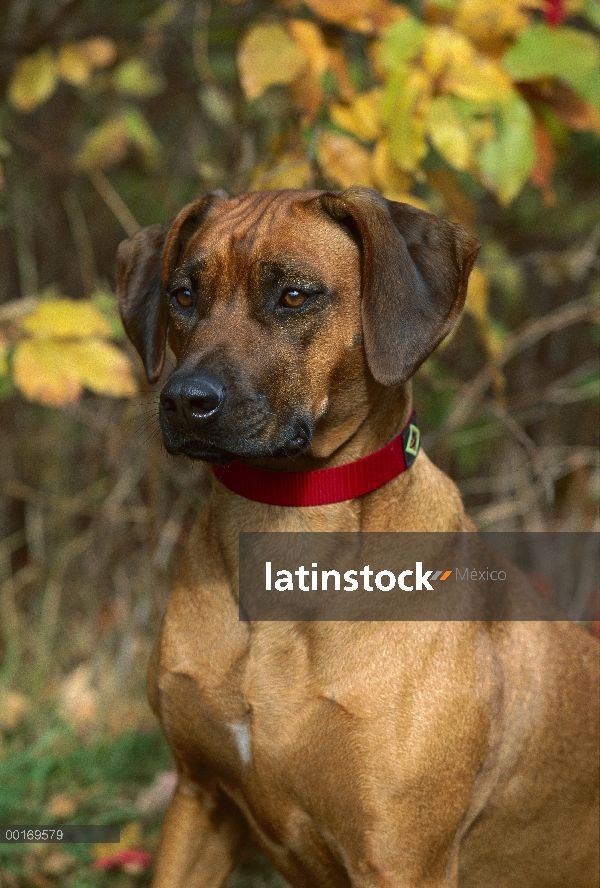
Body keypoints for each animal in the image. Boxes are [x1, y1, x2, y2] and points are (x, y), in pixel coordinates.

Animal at [118, 184, 600, 884]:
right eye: (183, 295)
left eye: (295, 295)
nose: (185, 401)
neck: (285, 527)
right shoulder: (199, 799)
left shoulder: (400, 853)